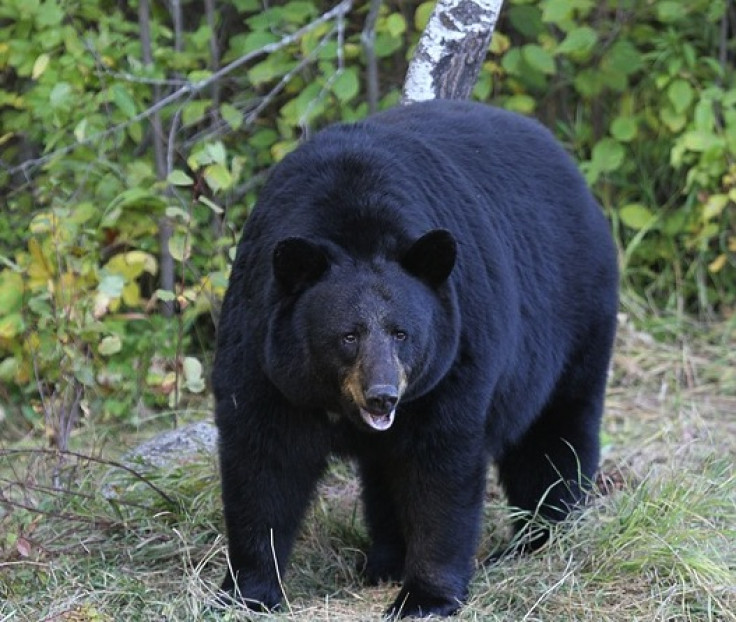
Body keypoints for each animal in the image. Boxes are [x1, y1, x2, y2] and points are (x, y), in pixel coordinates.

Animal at [211, 101, 616, 620]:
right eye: (348, 335)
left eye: (402, 334)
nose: (382, 396)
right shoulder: (262, 350)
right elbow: (263, 461)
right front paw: (250, 590)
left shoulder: (455, 357)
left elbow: (440, 468)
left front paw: (424, 597)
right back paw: (384, 561)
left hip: (573, 322)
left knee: (553, 437)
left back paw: (542, 538)